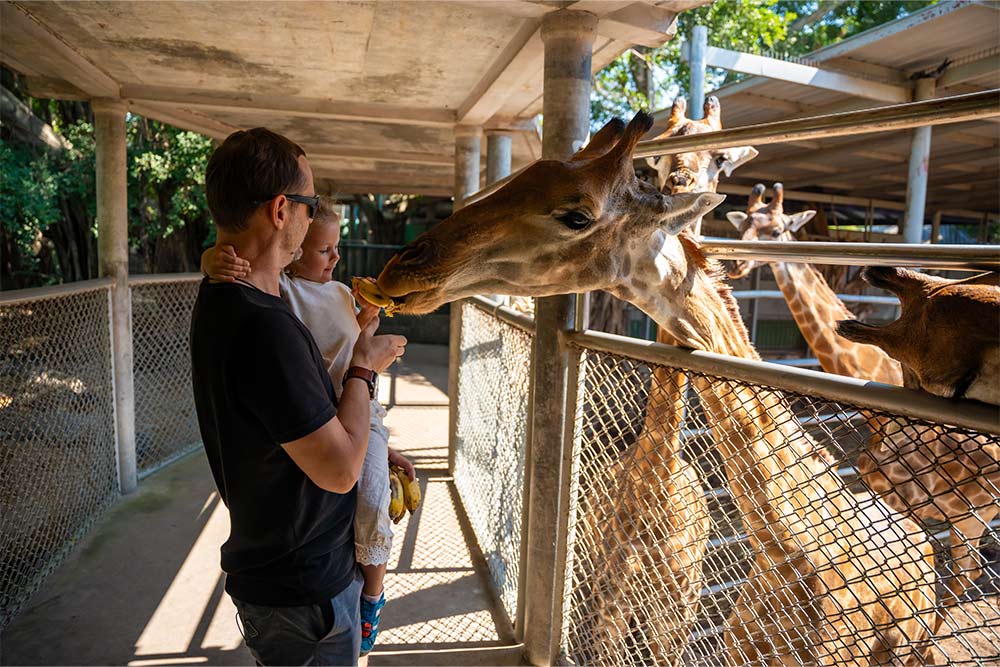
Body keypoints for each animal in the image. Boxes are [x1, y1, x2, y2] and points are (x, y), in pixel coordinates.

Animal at [728, 185, 1000, 604]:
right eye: (743, 227)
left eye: (775, 231)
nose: (736, 266)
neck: (880, 417)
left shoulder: (904, 500)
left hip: (971, 516)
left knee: (963, 577)